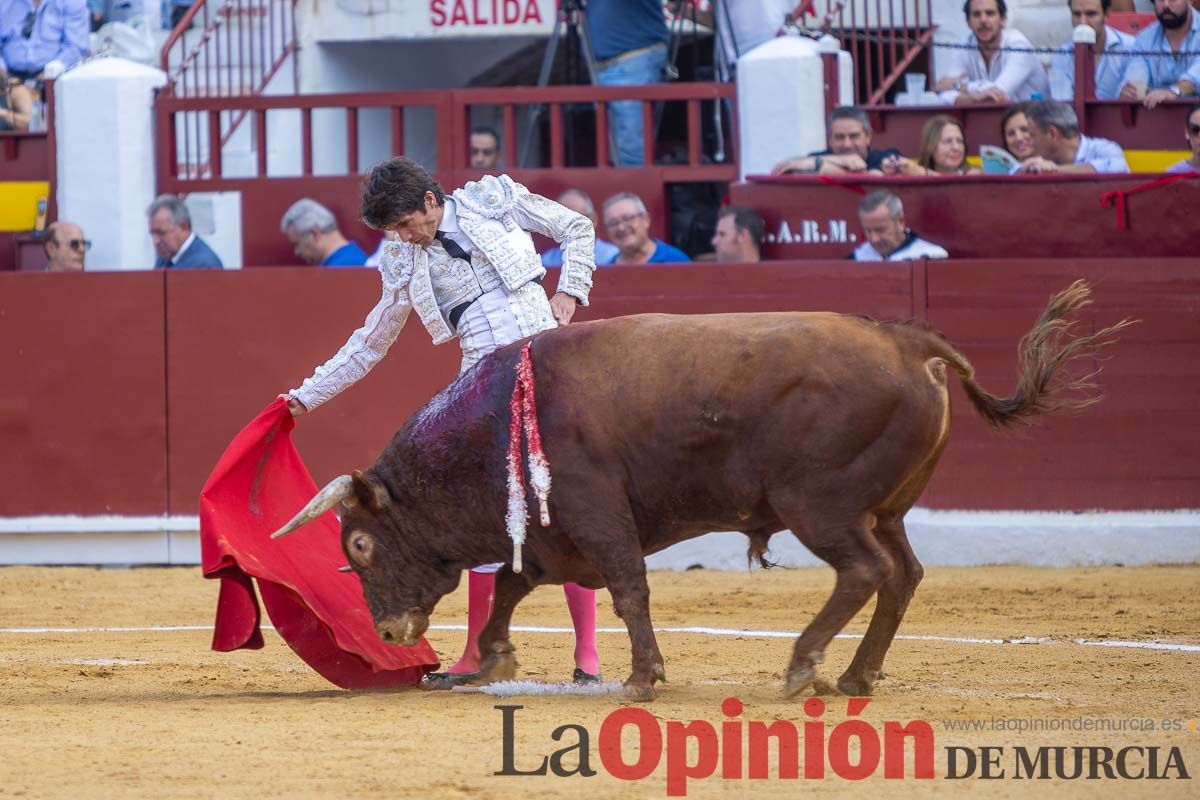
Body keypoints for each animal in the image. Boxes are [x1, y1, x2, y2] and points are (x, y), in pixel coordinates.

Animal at [276, 281, 1128, 700]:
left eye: (359, 541)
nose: (389, 631)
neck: (491, 426)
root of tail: (906, 339)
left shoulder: (593, 514)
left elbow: (627, 588)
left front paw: (641, 679)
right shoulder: (553, 532)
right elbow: (517, 584)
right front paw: (489, 659)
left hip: (820, 506)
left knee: (865, 572)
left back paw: (802, 666)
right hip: (883, 508)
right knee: (904, 574)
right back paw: (856, 674)